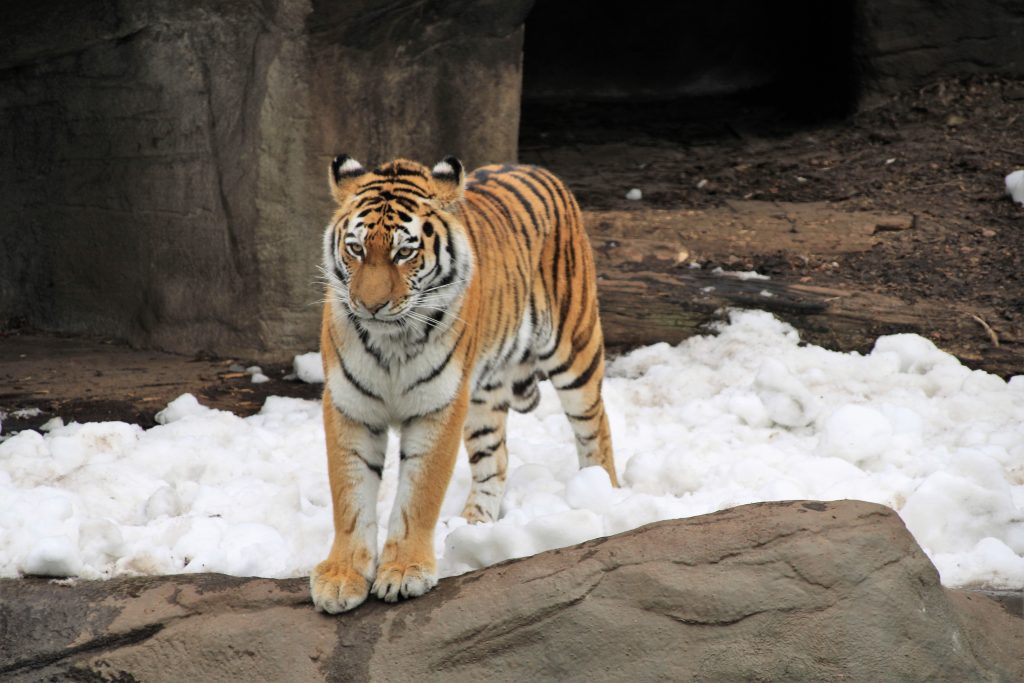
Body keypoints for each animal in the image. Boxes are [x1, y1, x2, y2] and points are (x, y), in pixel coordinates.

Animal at [309, 155, 618, 614]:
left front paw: (404, 572)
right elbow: (350, 496)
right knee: (497, 459)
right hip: (482, 398)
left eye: (404, 252)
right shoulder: (350, 405)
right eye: (356, 249)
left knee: (595, 426)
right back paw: (475, 526)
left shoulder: (438, 407)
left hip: (574, 348)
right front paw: (341, 577)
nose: (370, 306)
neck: (391, 341)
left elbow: (419, 495)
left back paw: (604, 496)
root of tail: (536, 168)